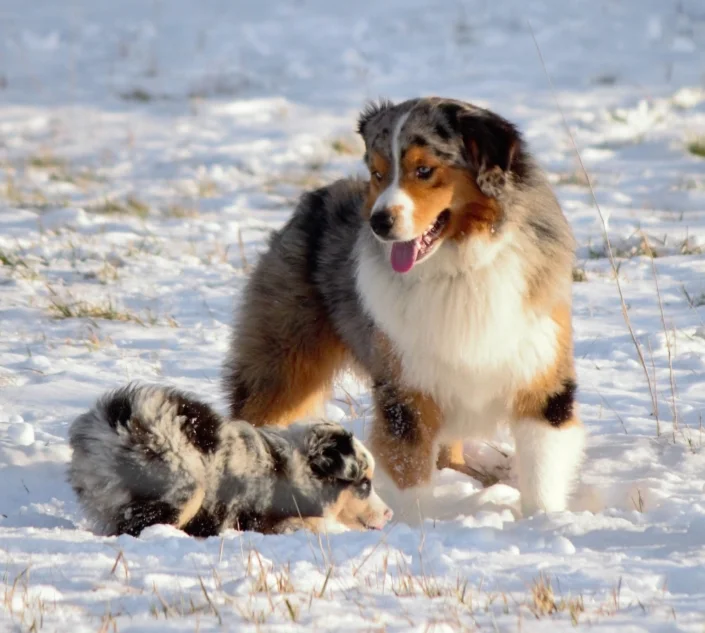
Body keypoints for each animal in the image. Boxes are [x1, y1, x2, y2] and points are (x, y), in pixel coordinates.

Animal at [226, 96, 584, 516]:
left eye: (424, 169)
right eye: (378, 173)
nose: (379, 222)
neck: (457, 265)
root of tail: (314, 199)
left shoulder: (541, 373)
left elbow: (543, 467)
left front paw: (546, 519)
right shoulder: (405, 386)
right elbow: (408, 467)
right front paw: (418, 526)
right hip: (282, 361)